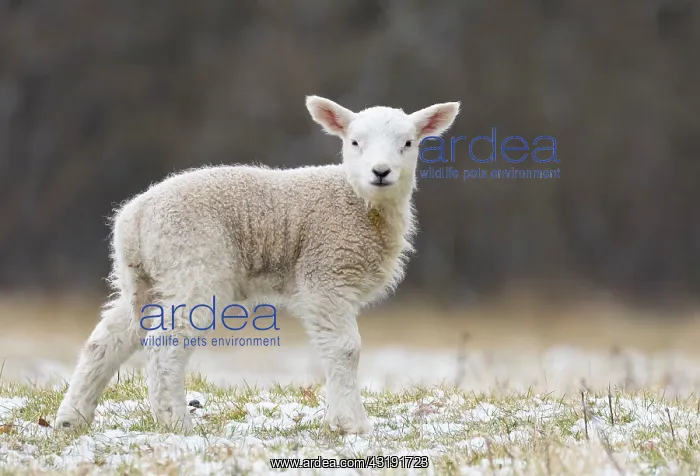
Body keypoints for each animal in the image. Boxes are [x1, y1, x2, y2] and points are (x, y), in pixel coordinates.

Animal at [55, 95, 460, 434]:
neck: (359, 203)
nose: (381, 172)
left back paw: (72, 418)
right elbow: (346, 348)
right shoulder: (326, 274)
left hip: (146, 278)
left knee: (107, 340)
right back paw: (177, 423)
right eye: (354, 142)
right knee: (166, 343)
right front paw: (353, 424)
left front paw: (339, 420)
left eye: (408, 144)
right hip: (194, 266)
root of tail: (134, 219)